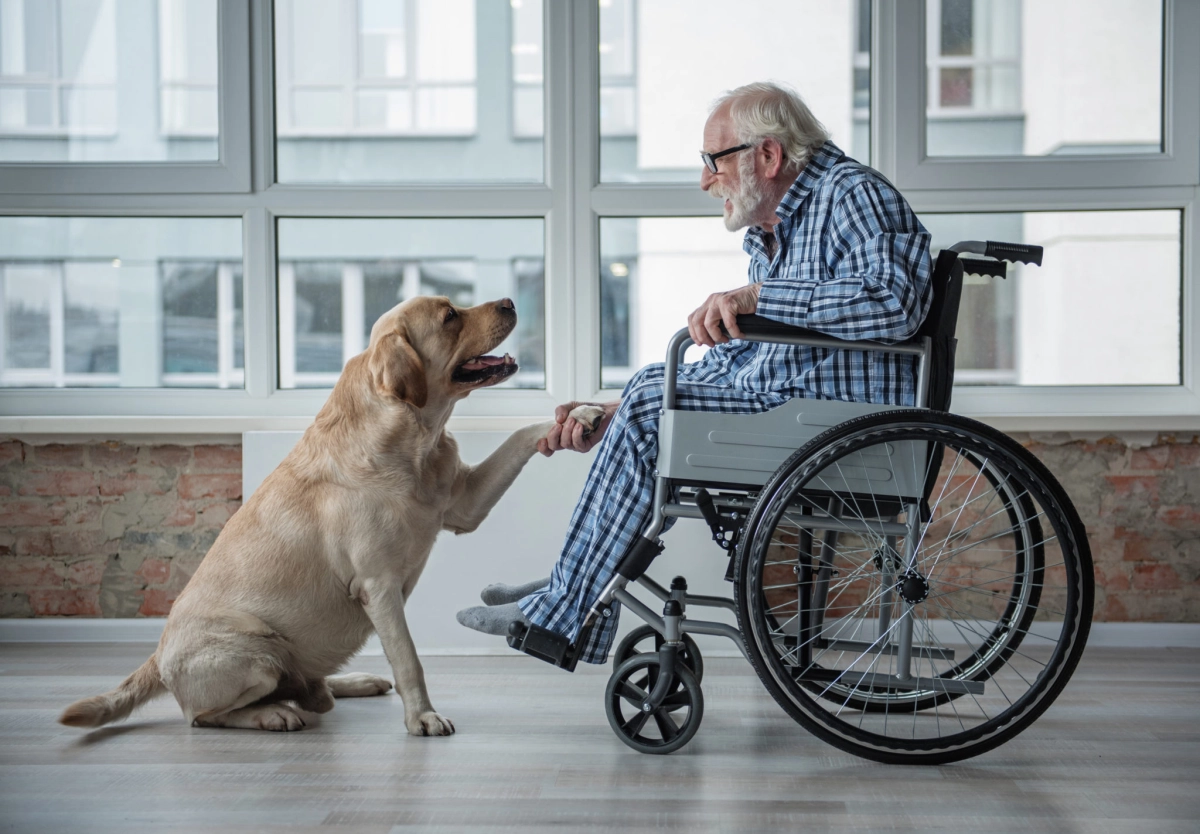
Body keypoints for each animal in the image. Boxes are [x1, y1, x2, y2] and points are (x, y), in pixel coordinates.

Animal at [58, 295, 597, 739]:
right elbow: (409, 659)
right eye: (449, 316)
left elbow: (523, 433)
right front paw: (422, 717)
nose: (509, 301)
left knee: (311, 687)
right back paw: (273, 714)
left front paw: (581, 414)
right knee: (204, 715)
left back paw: (348, 682)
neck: (413, 440)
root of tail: (157, 655)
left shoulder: (464, 504)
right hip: (258, 653)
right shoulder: (378, 585)